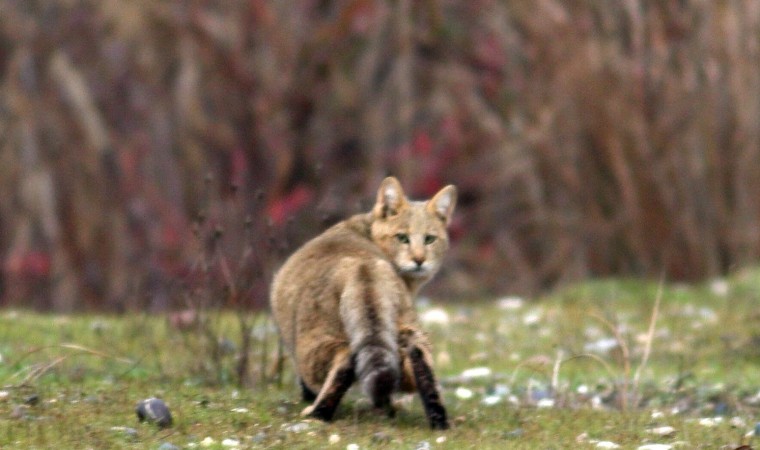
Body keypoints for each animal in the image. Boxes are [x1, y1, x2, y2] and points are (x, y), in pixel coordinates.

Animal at [270, 177, 454, 428]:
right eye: (402, 238)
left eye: (429, 239)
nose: (419, 260)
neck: (366, 231)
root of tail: (364, 266)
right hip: (410, 332)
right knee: (418, 362)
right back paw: (438, 420)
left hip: (310, 347)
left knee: (344, 360)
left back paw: (318, 413)